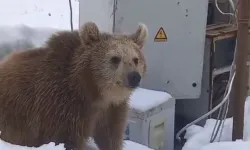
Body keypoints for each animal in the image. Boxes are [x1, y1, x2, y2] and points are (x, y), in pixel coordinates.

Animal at [0, 21, 148, 150]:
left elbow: (111, 136)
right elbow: (67, 140)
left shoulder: (111, 110)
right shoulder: (62, 107)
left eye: (136, 59)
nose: (134, 76)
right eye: (115, 58)